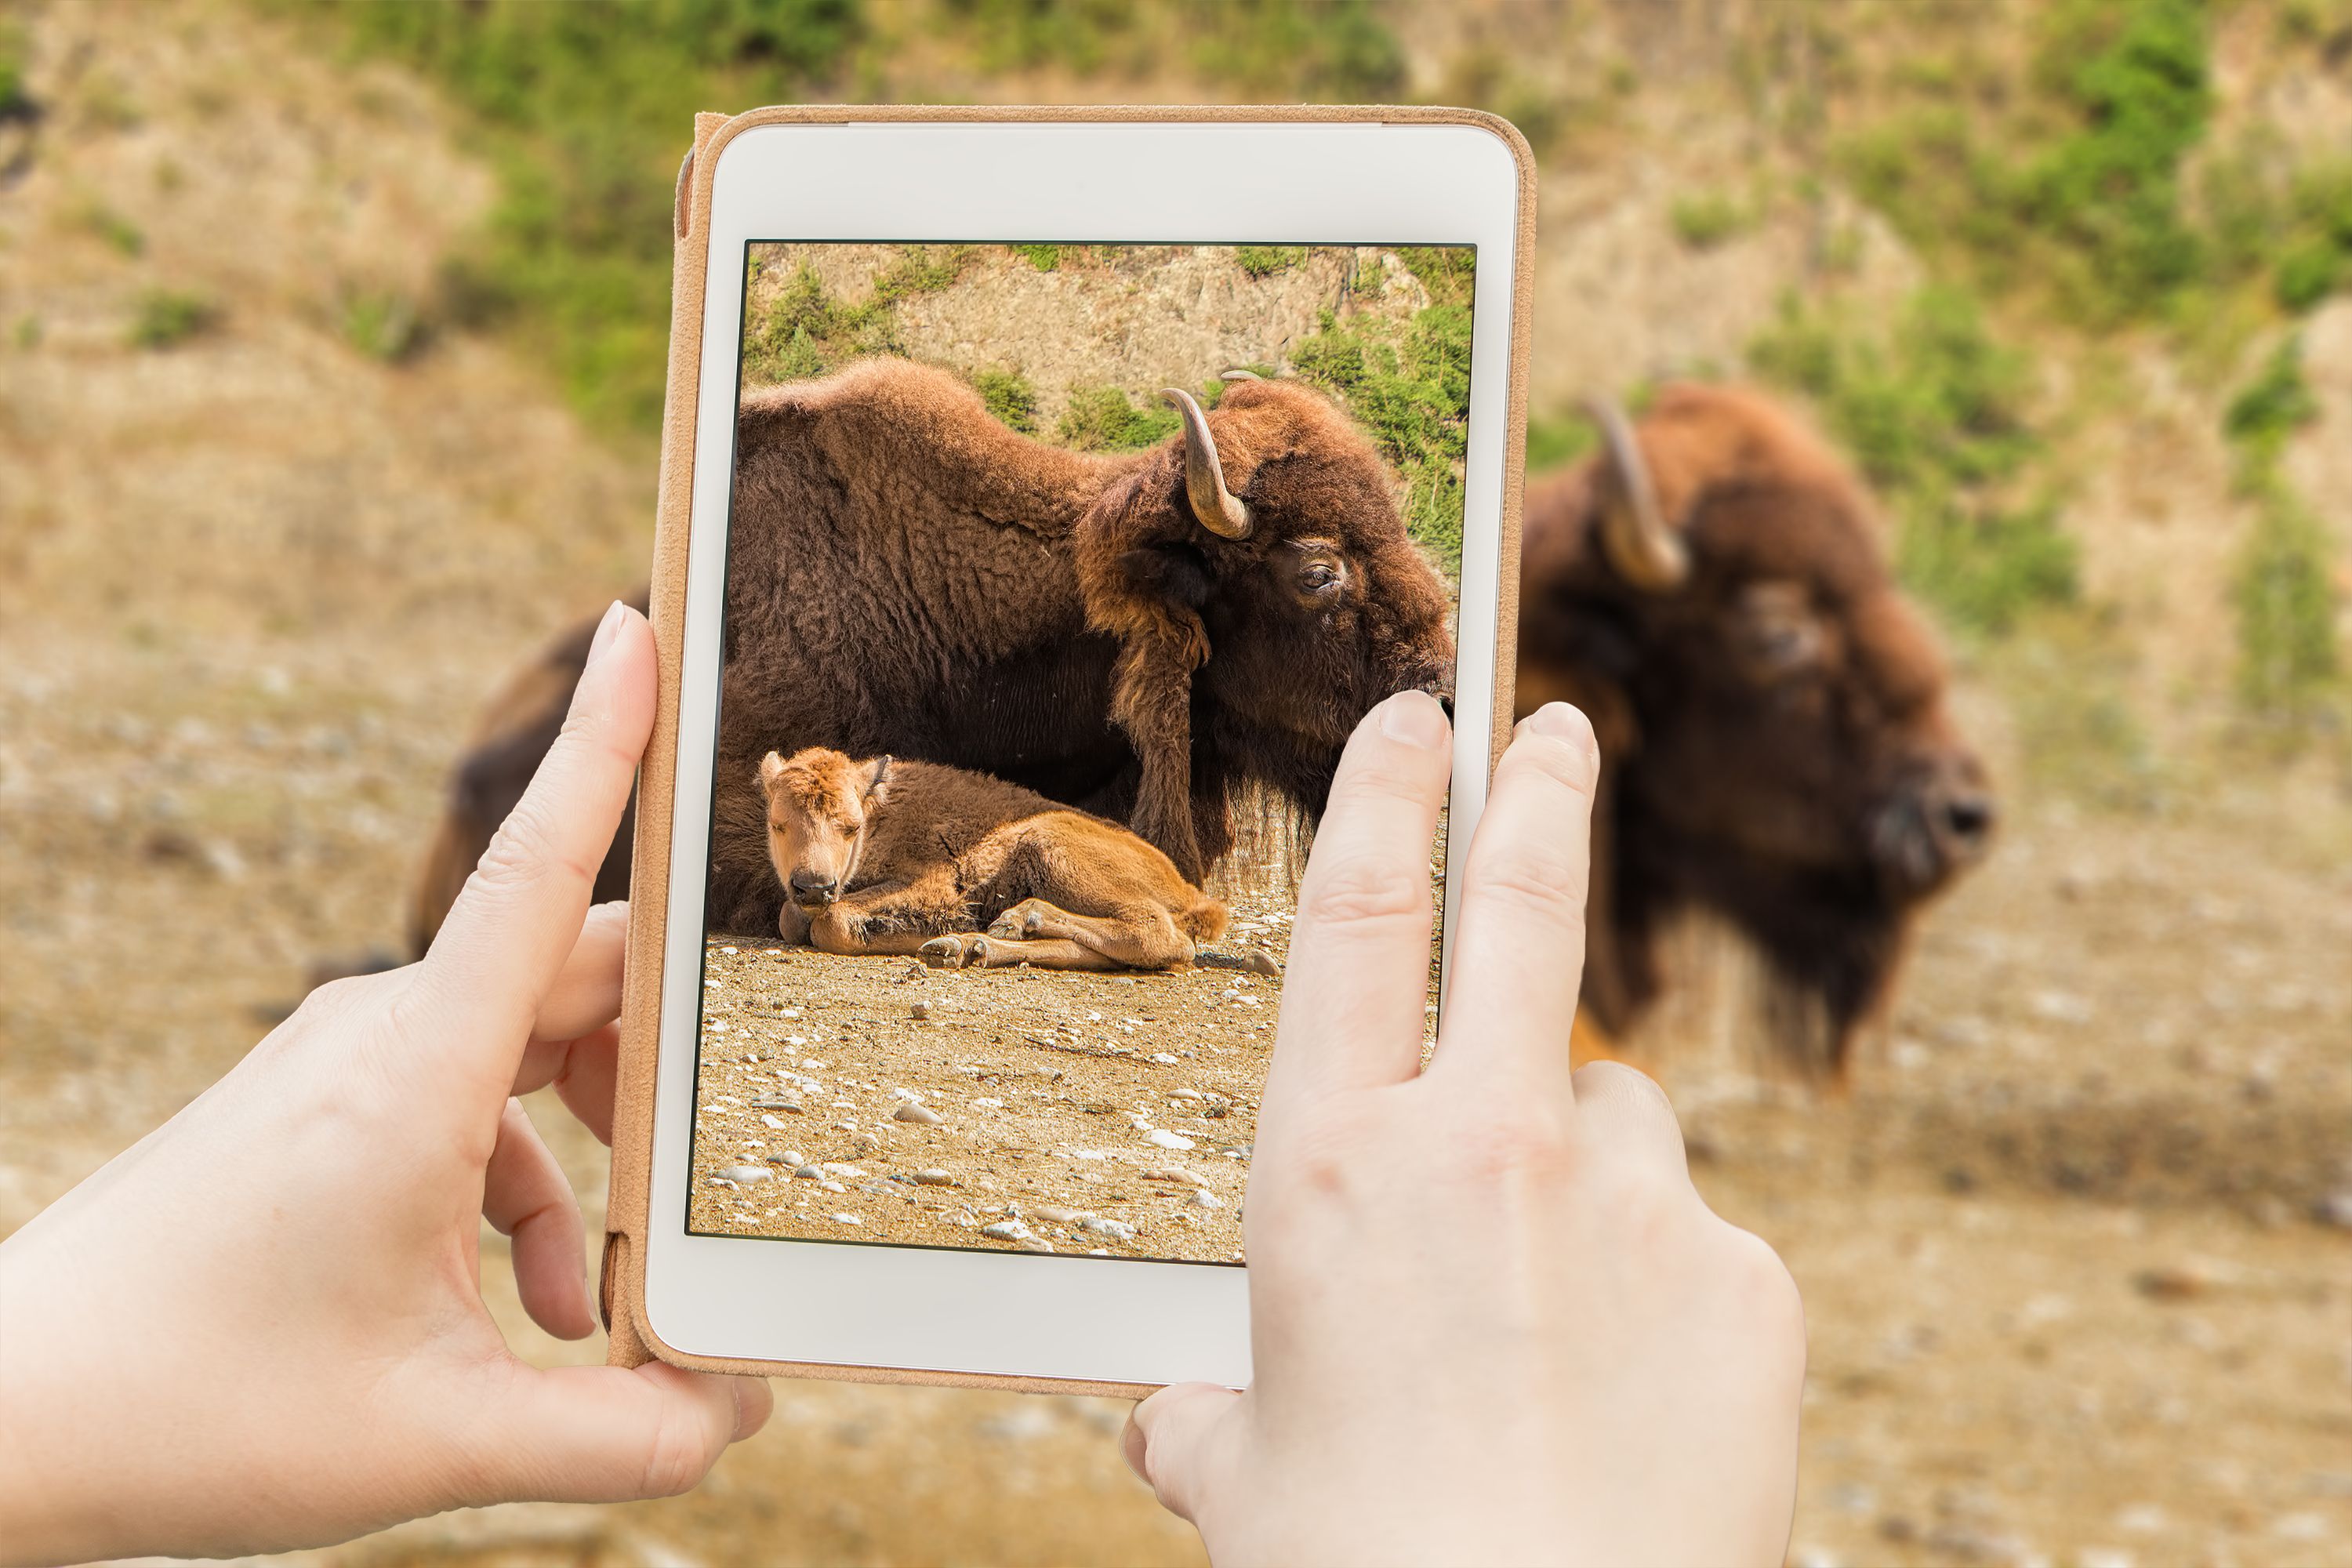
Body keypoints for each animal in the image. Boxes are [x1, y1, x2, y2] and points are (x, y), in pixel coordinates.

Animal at [758, 746, 1239, 973]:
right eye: (778, 824)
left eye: (850, 827)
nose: (814, 887)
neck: (880, 810)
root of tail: (1194, 894)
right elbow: (790, 917)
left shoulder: (933, 883)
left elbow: (831, 923)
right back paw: (972, 945)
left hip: (1051, 846)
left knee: (1159, 933)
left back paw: (1014, 921)